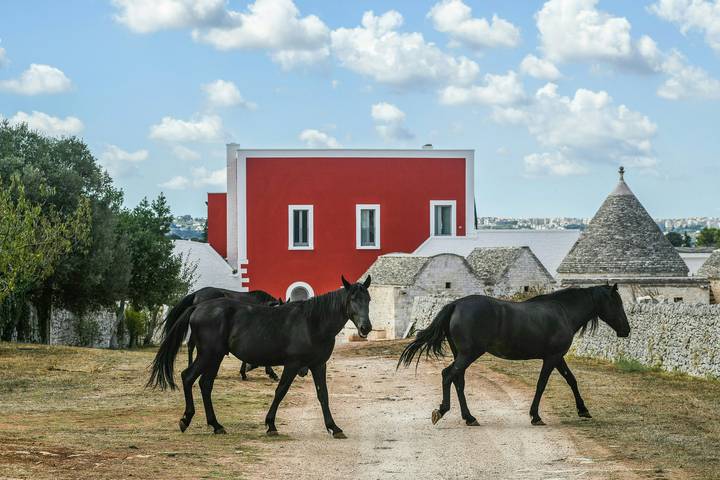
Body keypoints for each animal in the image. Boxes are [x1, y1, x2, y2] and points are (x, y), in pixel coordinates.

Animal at [148, 275, 372, 438]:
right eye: (352, 299)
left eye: (368, 299)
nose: (365, 328)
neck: (312, 323)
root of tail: (198, 306)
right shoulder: (293, 364)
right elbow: (280, 391)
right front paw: (271, 424)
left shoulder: (318, 365)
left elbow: (323, 395)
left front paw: (334, 427)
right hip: (209, 355)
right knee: (188, 377)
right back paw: (187, 419)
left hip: (214, 357)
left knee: (205, 384)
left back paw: (215, 425)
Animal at [398, 284, 630, 426]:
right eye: (616, 303)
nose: (626, 330)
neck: (563, 312)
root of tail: (455, 305)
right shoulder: (552, 357)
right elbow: (542, 384)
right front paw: (535, 416)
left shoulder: (558, 357)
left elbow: (571, 380)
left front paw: (583, 410)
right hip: (468, 354)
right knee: (448, 375)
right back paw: (442, 411)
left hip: (461, 355)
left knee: (458, 380)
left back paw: (469, 417)